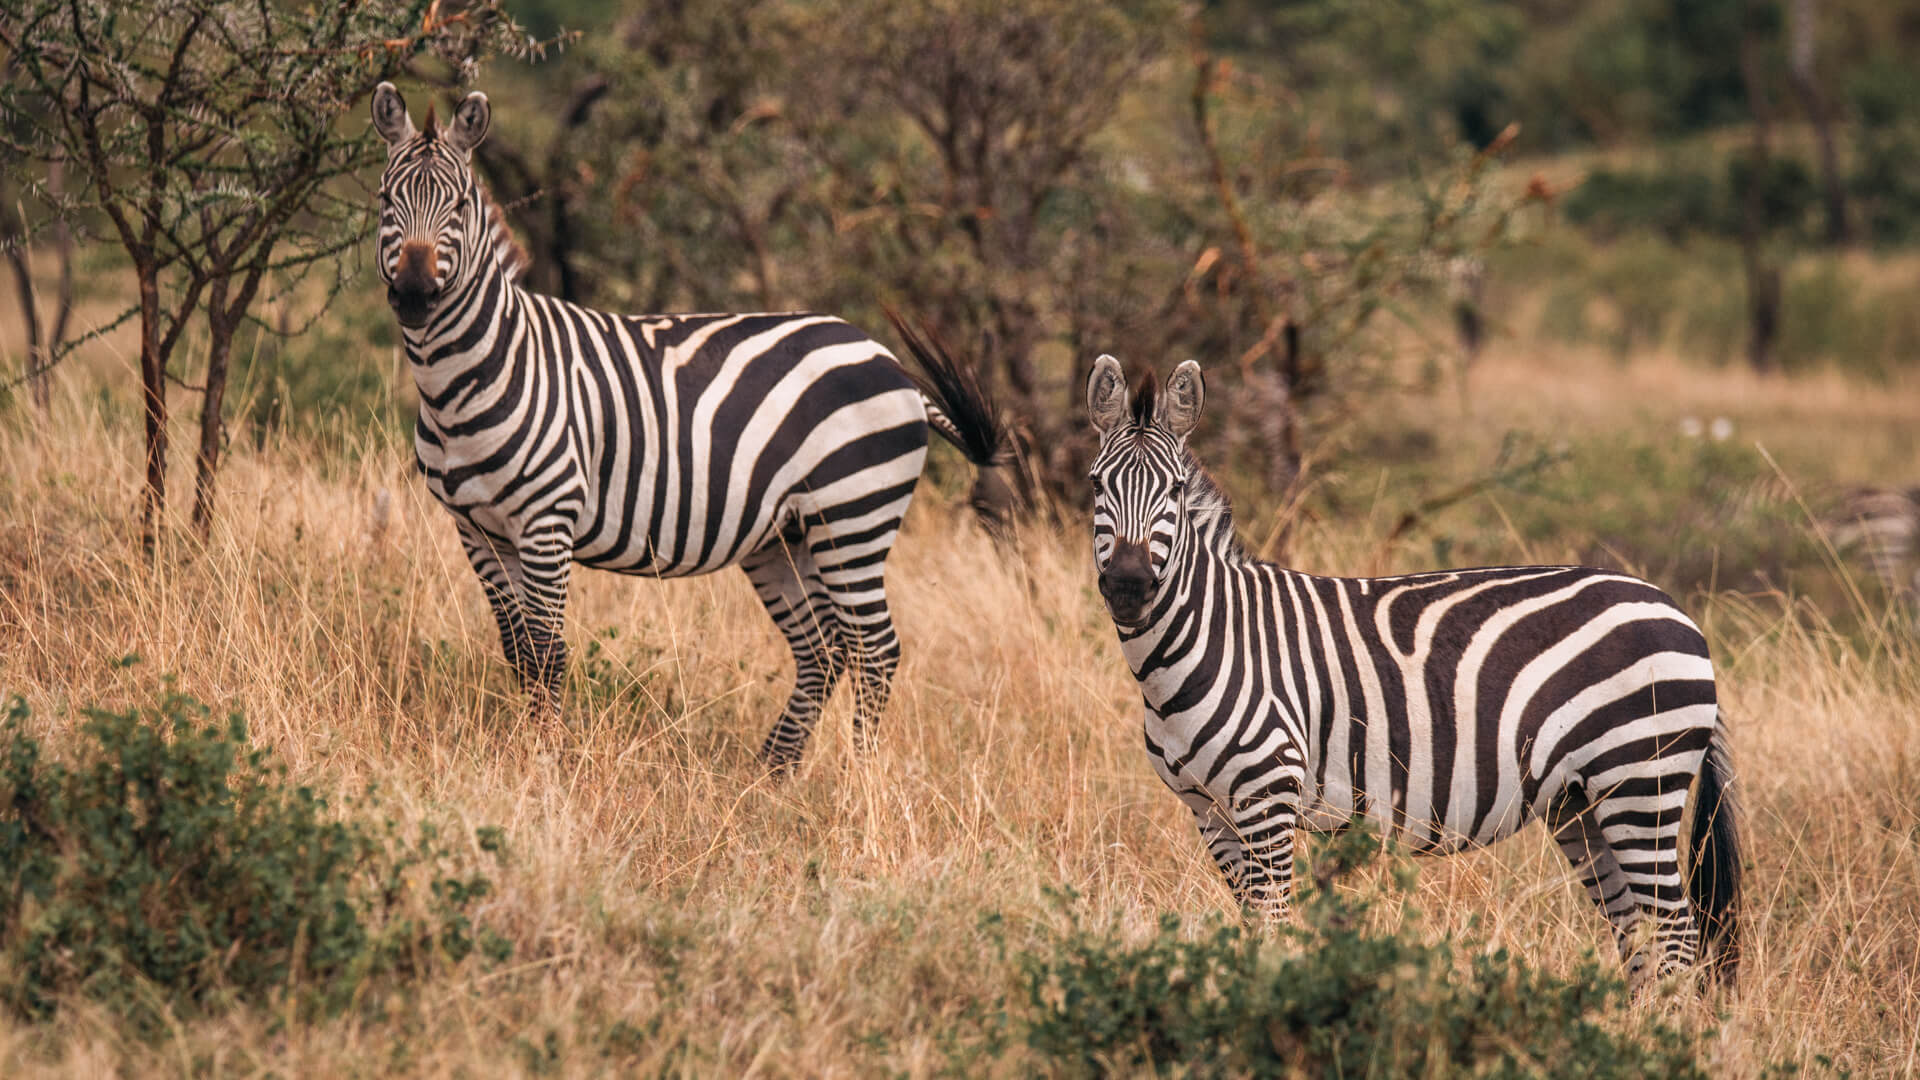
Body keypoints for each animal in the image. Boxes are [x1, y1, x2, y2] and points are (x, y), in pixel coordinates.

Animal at [369, 84, 1004, 768]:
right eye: (384, 200)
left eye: (459, 205)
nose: (413, 293)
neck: (471, 378)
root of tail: (889, 360)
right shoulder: (477, 529)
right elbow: (518, 651)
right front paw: (522, 747)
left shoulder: (546, 522)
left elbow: (548, 652)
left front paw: (546, 758)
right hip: (787, 536)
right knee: (824, 648)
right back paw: (770, 774)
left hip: (853, 515)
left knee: (875, 649)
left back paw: (857, 777)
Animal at [1085, 356, 1742, 985]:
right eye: (1095, 484)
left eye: (1173, 490)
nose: (1129, 586)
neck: (1199, 646)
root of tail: (1675, 608)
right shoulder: (1209, 812)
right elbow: (1249, 930)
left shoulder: (1267, 798)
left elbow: (1272, 932)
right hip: (1581, 803)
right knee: (1637, 935)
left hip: (1640, 778)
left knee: (1676, 937)